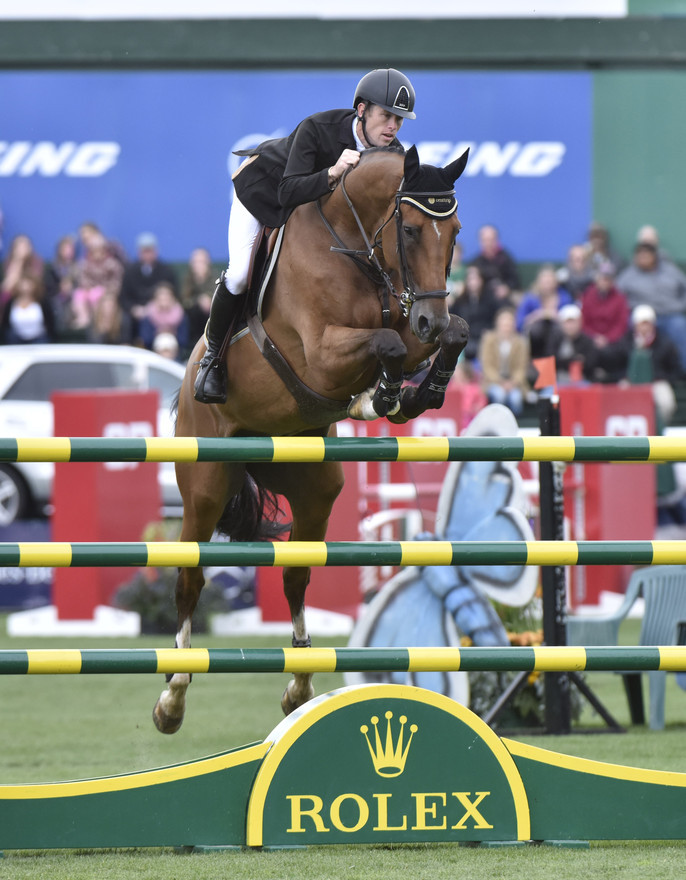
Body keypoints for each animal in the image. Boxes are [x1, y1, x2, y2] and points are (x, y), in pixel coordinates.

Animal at [153, 146, 470, 736]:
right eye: (410, 230)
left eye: (455, 232)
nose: (429, 319)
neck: (355, 244)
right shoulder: (322, 354)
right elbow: (388, 342)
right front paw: (382, 396)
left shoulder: (407, 322)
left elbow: (432, 335)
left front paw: (412, 394)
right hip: (205, 485)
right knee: (190, 578)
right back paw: (173, 698)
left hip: (314, 486)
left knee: (296, 575)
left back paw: (300, 687)